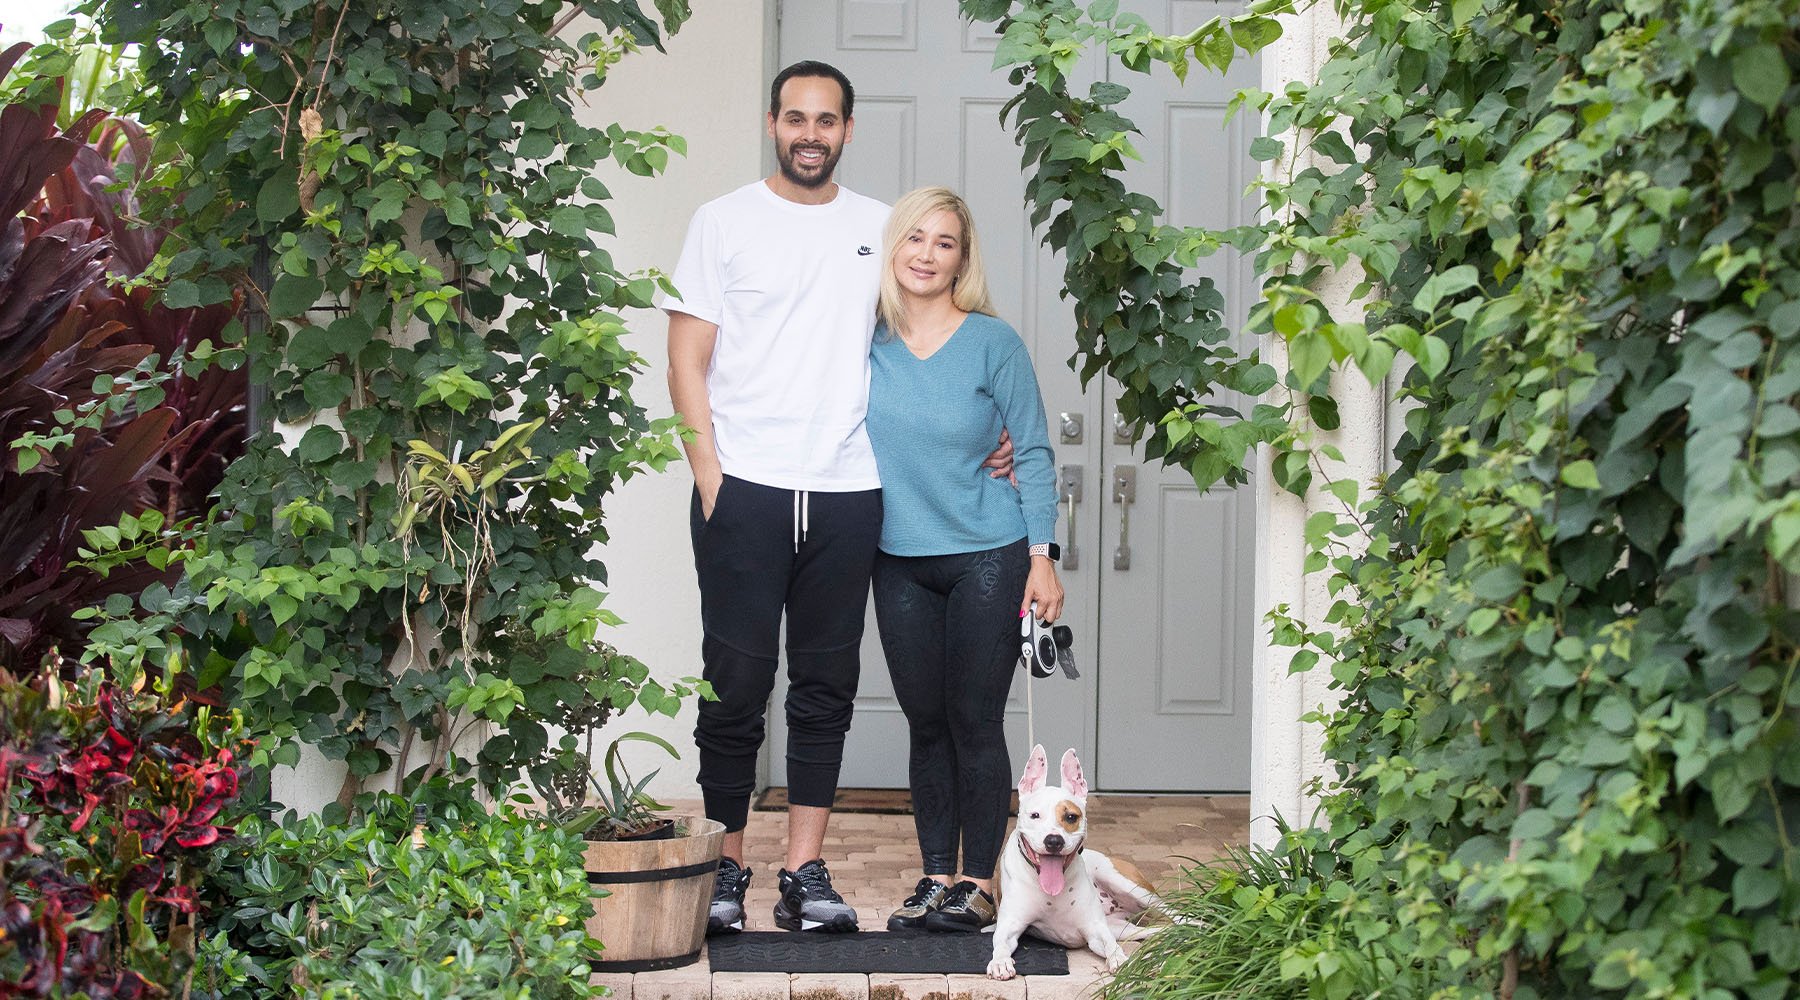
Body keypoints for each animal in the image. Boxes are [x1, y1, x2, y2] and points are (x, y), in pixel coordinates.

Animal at [986, 744, 1166, 978]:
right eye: (1035, 815)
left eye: (1071, 817)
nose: (1054, 840)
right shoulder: (1009, 926)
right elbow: (999, 943)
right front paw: (1000, 962)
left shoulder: (1096, 929)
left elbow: (1111, 946)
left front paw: (1119, 959)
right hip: (1124, 928)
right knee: (1157, 930)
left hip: (1130, 886)